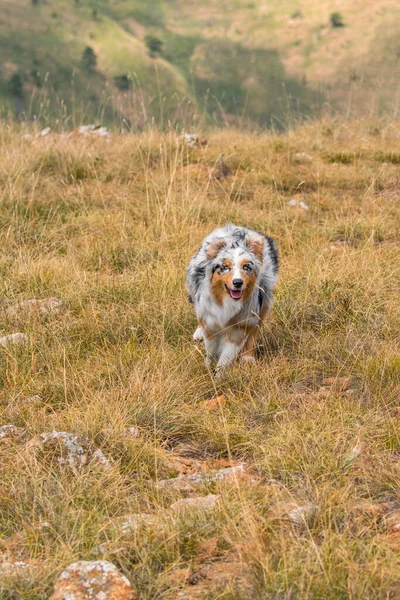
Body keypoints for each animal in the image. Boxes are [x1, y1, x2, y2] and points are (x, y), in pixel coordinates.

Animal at [187, 223, 278, 378]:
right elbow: (211, 349)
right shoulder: (210, 323)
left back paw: (248, 358)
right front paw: (208, 368)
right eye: (225, 267)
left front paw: (218, 377)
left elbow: (225, 357)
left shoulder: (240, 326)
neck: (227, 302)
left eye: (246, 267)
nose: (238, 282)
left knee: (254, 332)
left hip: (264, 304)